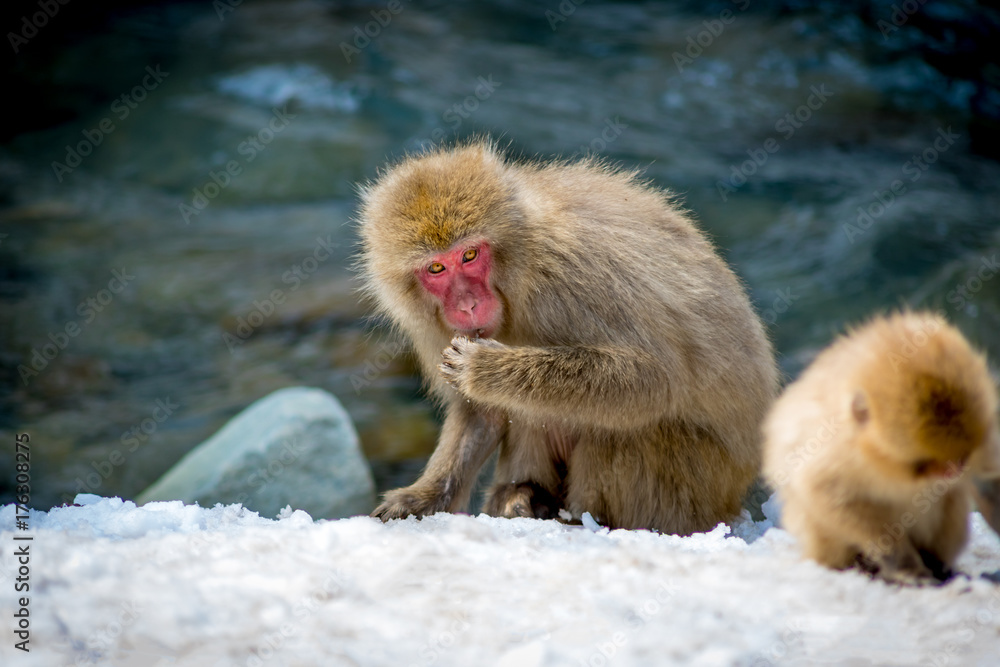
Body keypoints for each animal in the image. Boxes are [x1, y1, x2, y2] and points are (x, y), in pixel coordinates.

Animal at [357, 139, 778, 535]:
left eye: (470, 255)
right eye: (437, 268)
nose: (467, 304)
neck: (520, 274)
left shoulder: (571, 273)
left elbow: (654, 378)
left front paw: (487, 368)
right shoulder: (432, 328)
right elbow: (480, 412)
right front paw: (424, 497)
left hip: (692, 483)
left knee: (616, 424)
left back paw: (581, 519)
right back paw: (523, 495)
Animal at [763, 311, 1000, 582]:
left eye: (963, 456)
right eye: (920, 463)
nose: (953, 470)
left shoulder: (983, 430)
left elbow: (989, 479)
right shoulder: (834, 451)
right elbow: (829, 495)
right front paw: (905, 565)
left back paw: (938, 563)